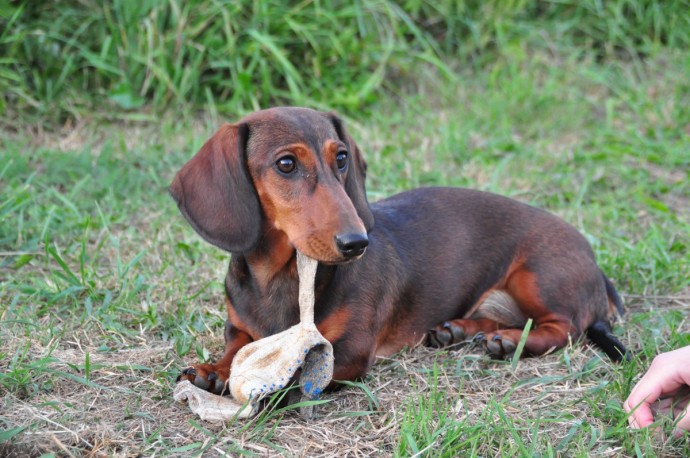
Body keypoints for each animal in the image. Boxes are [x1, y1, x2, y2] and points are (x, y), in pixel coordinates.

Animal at [169, 107, 628, 394]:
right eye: (286, 164)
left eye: (341, 158)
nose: (357, 243)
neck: (283, 276)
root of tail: (595, 264)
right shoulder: (238, 328)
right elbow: (235, 348)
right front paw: (213, 370)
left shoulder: (350, 351)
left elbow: (300, 373)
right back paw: (461, 330)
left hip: (536, 276)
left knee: (564, 327)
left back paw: (510, 341)